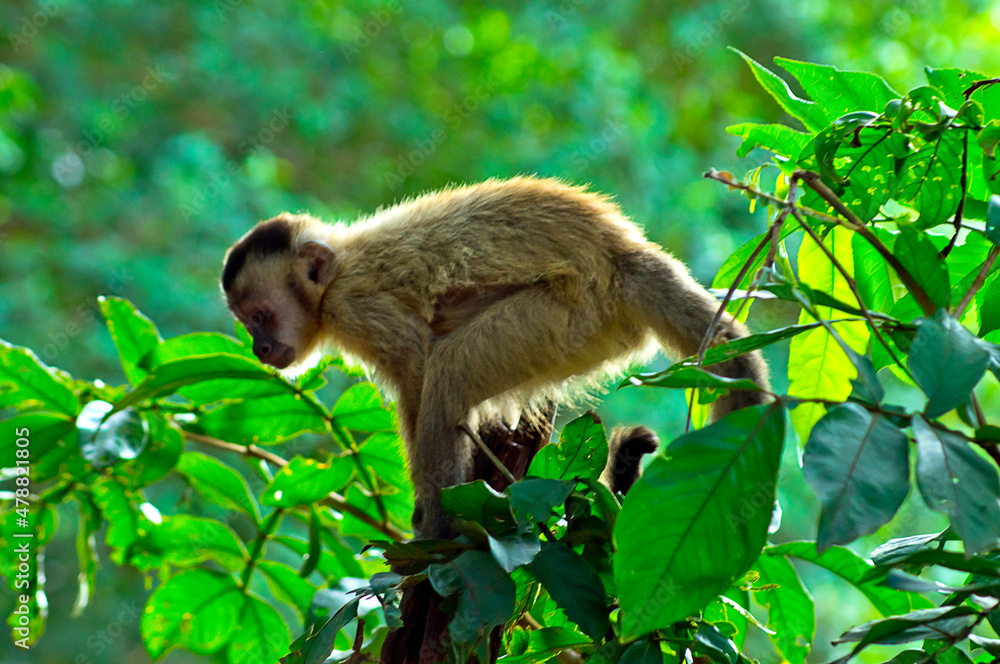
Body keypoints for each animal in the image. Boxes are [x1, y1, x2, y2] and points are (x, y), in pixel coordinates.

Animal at [221, 176, 769, 538]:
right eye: (247, 322)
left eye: (263, 315)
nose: (260, 348)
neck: (335, 276)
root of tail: (622, 255)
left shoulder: (356, 304)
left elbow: (417, 366)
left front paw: (424, 512)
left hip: (572, 316)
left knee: (448, 371)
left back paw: (439, 528)